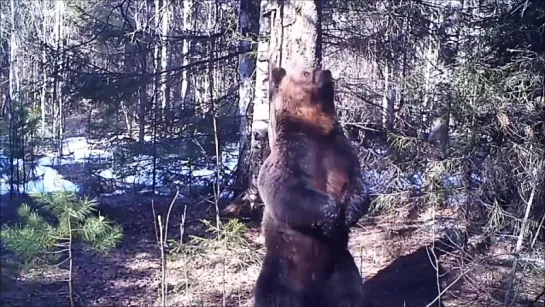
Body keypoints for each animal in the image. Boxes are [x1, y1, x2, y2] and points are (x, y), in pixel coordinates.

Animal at [253, 65, 372, 307]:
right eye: (306, 72)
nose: (325, 71)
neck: (316, 131)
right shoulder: (292, 154)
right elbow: (284, 190)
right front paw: (332, 213)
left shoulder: (341, 152)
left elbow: (358, 183)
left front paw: (350, 212)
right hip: (281, 271)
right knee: (271, 295)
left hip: (341, 268)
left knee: (353, 295)